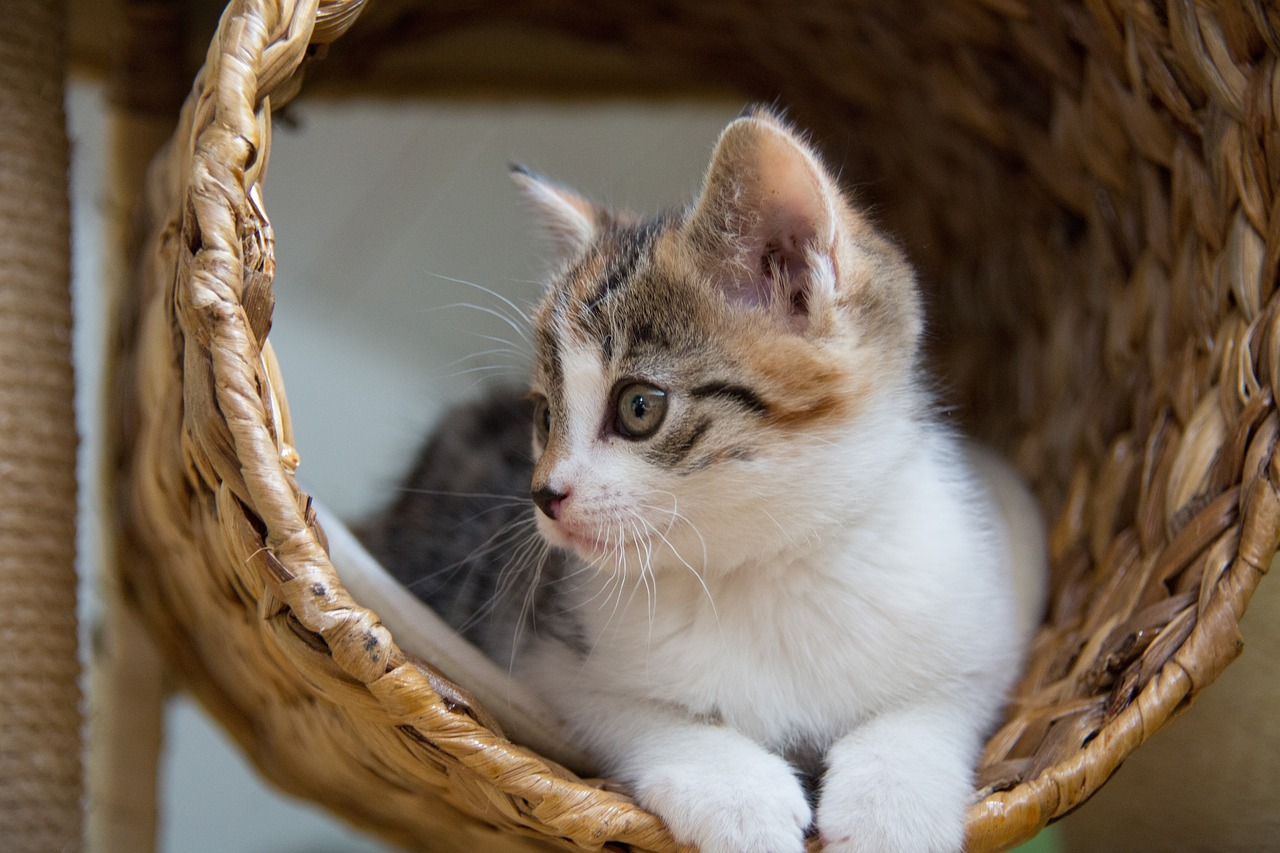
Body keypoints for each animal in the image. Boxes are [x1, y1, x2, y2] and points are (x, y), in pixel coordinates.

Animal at [360, 109, 1039, 850]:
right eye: (543, 415)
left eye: (639, 407)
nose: (545, 494)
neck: (767, 568)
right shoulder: (546, 654)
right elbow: (632, 711)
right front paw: (737, 795)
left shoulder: (984, 619)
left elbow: (939, 701)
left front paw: (892, 807)